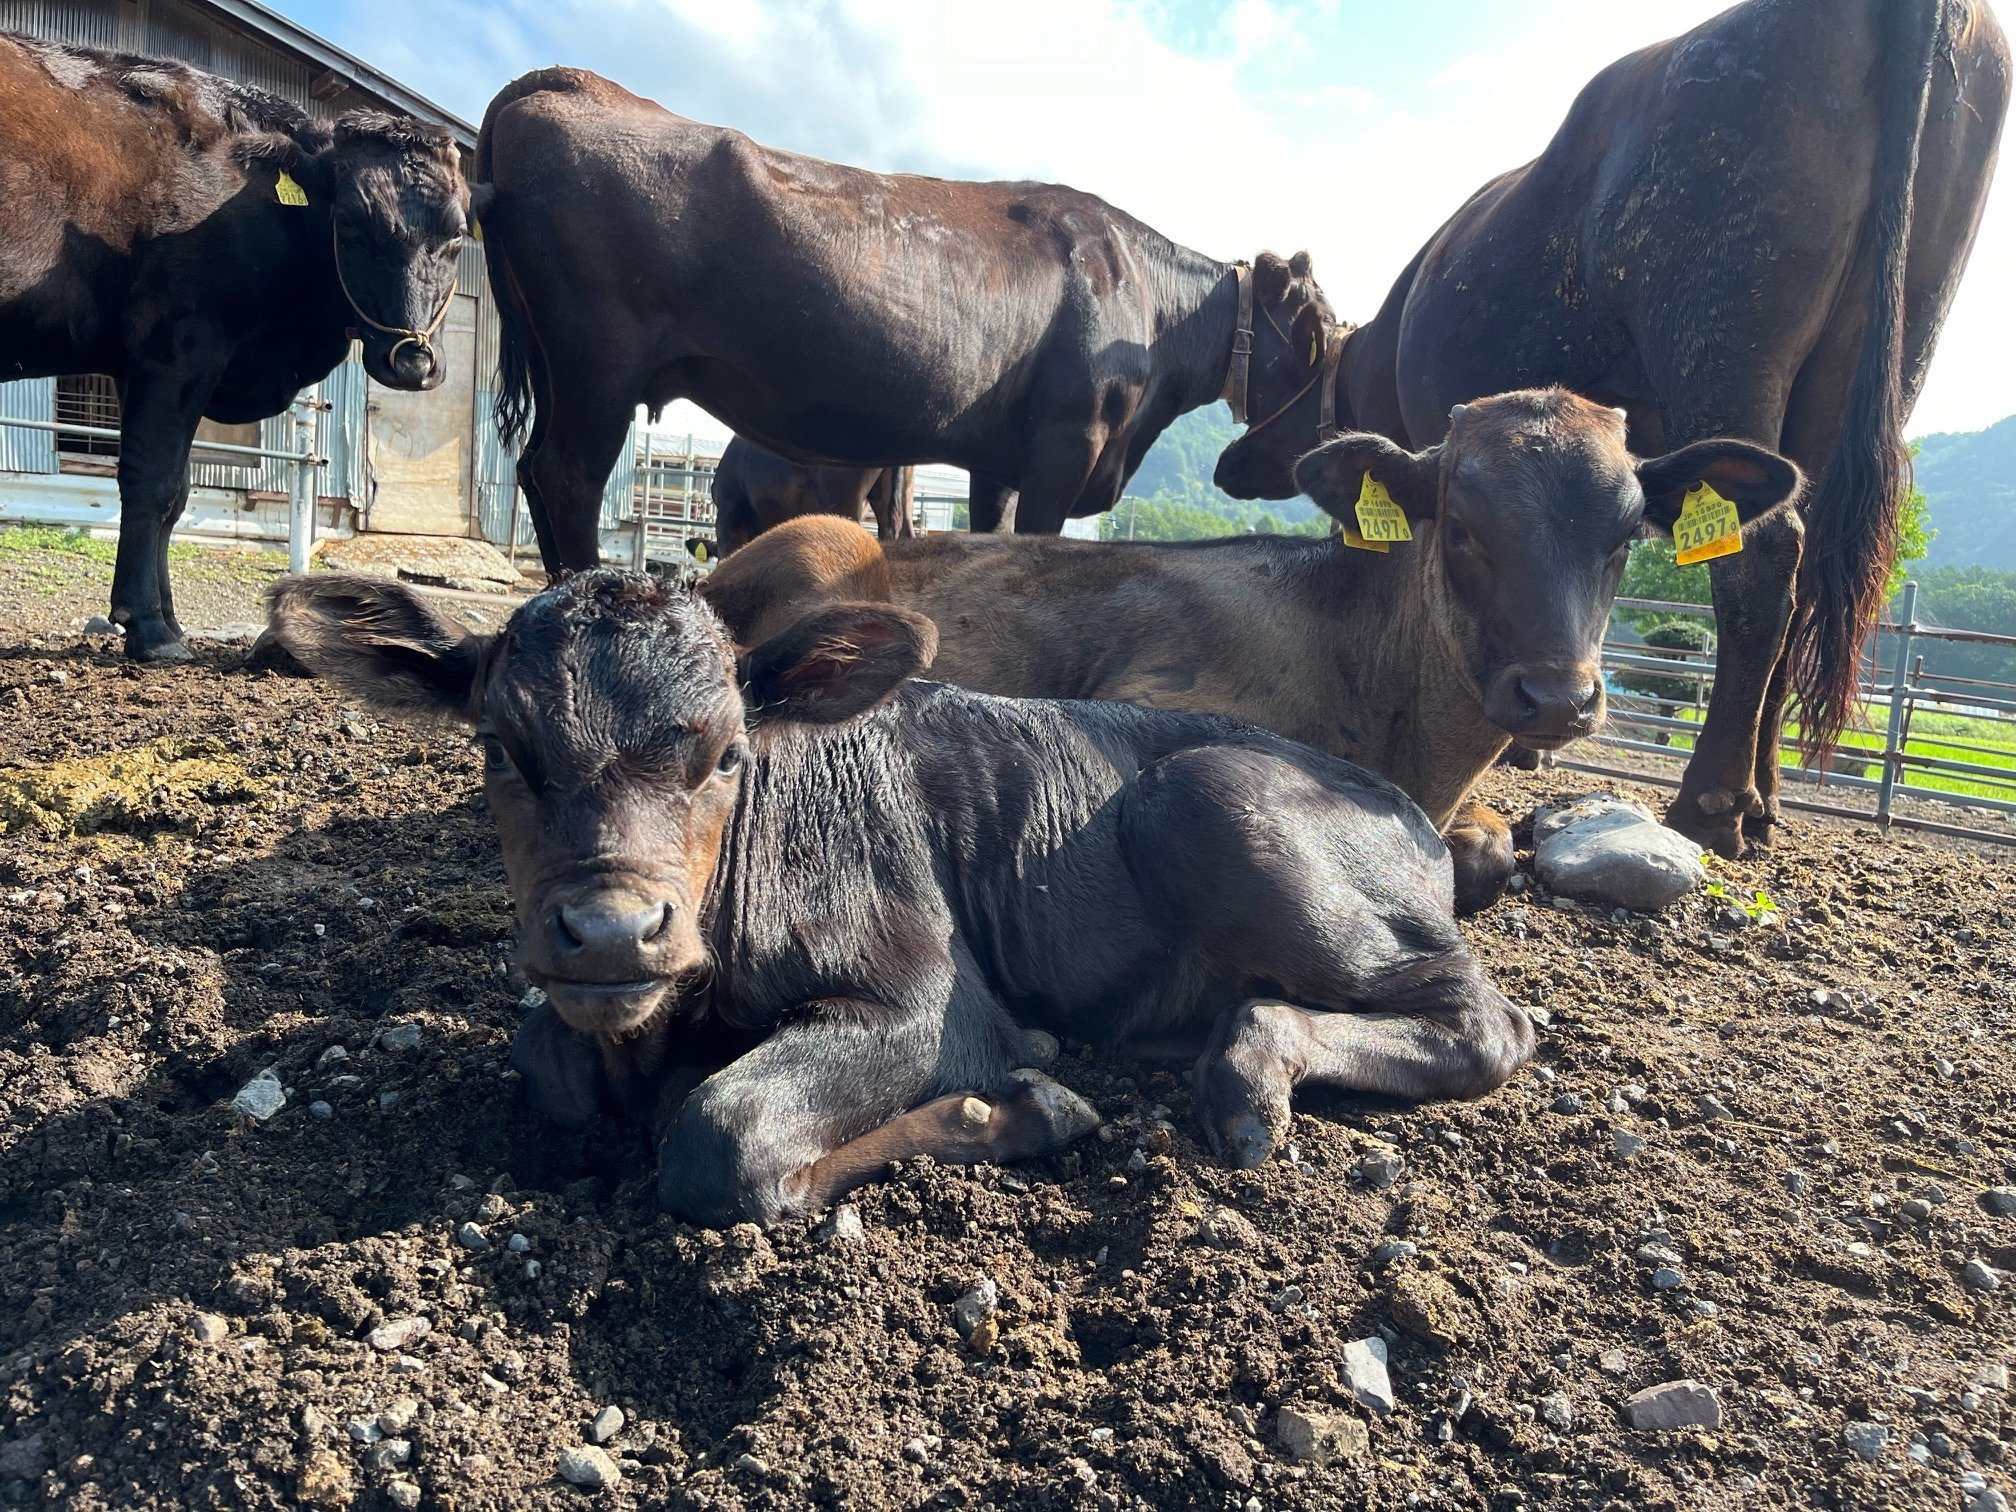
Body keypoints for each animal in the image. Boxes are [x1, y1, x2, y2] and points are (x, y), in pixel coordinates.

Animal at [264, 572, 1524, 1225]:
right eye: (498, 749)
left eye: (728, 754)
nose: (615, 928)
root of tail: (1415, 811)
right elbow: (551, 1058)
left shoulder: (930, 999)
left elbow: (720, 1139)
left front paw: (1025, 1107)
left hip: (1213, 798)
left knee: (1483, 1017)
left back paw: (1248, 1076)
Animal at [463, 63, 1330, 568]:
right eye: (1319, 340)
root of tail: (572, 83)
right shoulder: (1067, 441)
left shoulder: (1000, 455)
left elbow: (992, 542)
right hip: (596, 367)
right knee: (565, 478)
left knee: (540, 473)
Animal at [1201, 0, 2007, 858]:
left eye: (1270, 380)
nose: (1228, 463)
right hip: (1886, 344)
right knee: (1804, 561)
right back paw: (1766, 796)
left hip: (1719, 330)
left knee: (1761, 556)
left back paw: (1712, 801)